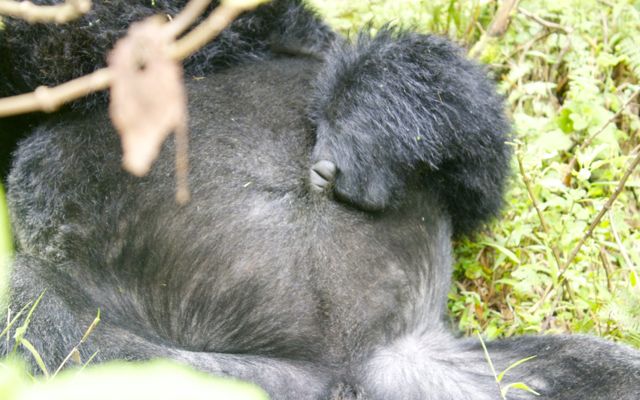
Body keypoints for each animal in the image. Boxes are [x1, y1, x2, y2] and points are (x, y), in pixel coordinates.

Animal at [1, 0, 640, 400]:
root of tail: (345, 375)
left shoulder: (283, 29)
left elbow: (471, 165)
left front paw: (374, 113)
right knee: (31, 303)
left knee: (603, 376)